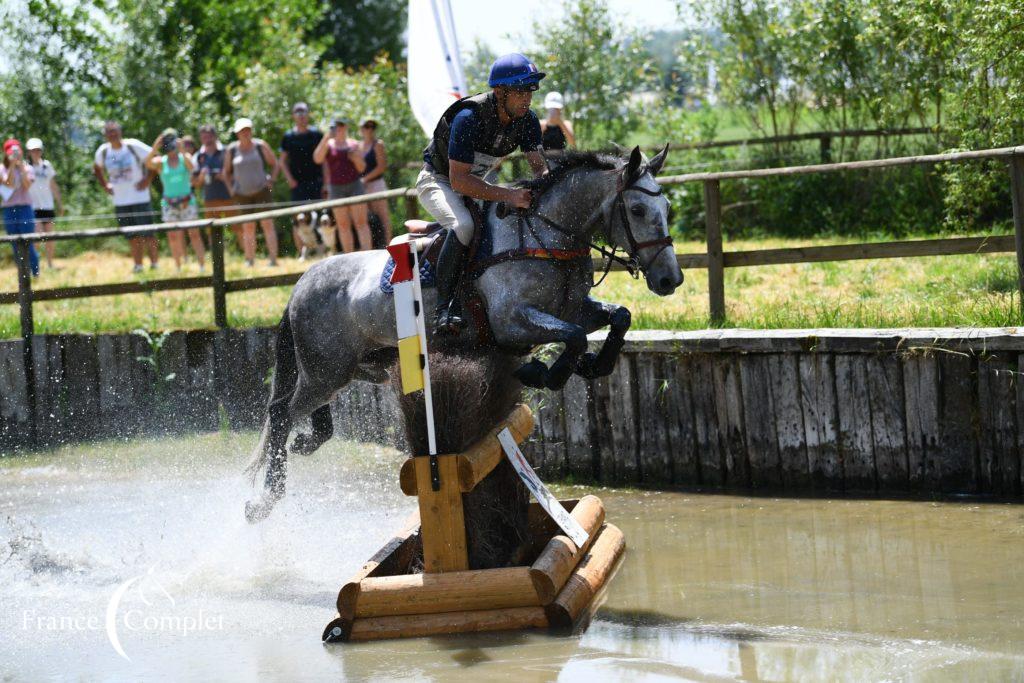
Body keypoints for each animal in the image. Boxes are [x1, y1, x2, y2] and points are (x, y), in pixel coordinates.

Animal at [243, 145, 684, 524]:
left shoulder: (571, 310)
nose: (670, 280)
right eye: (638, 209)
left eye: (666, 208)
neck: (545, 235)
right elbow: (573, 337)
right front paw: (543, 372)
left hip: (343, 369)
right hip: (326, 371)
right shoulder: (512, 320)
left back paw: (304, 446)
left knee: (307, 416)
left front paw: (594, 364)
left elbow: (619, 317)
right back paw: (263, 502)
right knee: (280, 413)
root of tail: (301, 284)